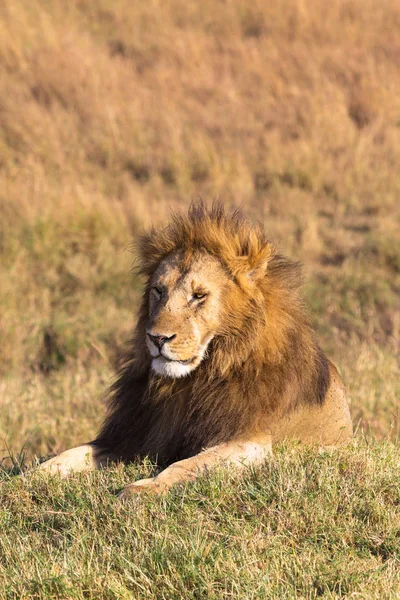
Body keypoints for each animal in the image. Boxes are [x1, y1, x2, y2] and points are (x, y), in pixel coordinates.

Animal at [39, 202, 354, 496]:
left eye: (199, 296)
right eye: (158, 290)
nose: (157, 338)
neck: (191, 383)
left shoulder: (250, 442)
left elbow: (185, 465)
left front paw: (142, 489)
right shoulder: (138, 436)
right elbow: (71, 453)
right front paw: (32, 477)